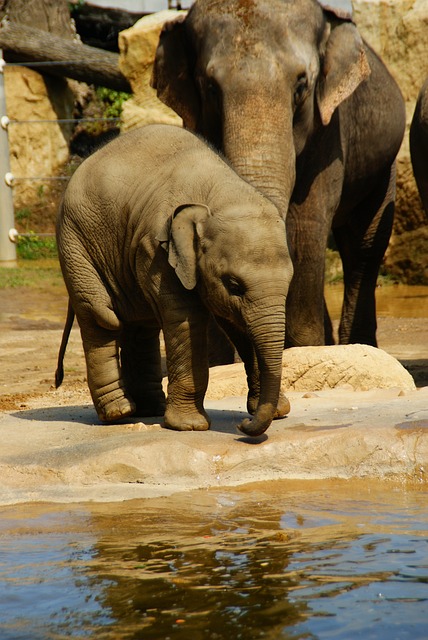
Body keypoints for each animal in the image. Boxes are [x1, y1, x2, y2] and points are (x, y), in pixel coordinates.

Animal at [55, 123, 292, 438]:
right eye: (234, 285)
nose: (242, 425)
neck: (218, 195)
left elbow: (239, 325)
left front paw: (277, 412)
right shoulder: (156, 250)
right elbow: (186, 318)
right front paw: (190, 426)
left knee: (141, 325)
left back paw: (150, 409)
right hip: (75, 242)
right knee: (100, 316)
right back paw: (119, 412)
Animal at [152, 0, 406, 348]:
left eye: (301, 84)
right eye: (210, 87)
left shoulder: (329, 133)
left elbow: (306, 223)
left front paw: (305, 349)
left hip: (383, 164)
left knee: (364, 244)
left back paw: (358, 346)